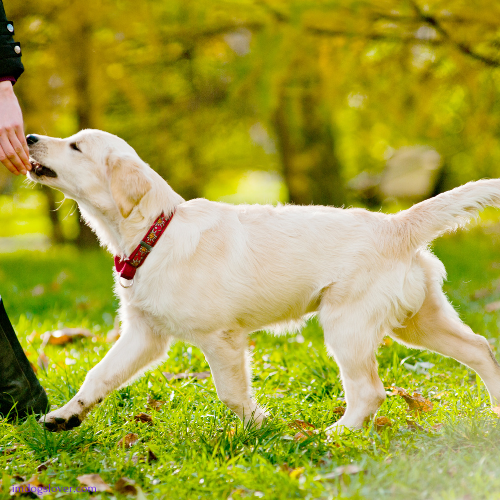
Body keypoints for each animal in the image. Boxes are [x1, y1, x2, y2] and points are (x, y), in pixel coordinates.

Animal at [27, 129, 500, 434]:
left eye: (75, 146)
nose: (29, 137)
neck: (154, 233)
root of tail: (396, 224)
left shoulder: (220, 338)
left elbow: (231, 395)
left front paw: (262, 428)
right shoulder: (145, 335)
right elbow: (99, 375)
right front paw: (66, 415)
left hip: (348, 324)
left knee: (369, 391)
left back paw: (334, 434)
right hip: (417, 320)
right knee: (479, 347)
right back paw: (495, 410)